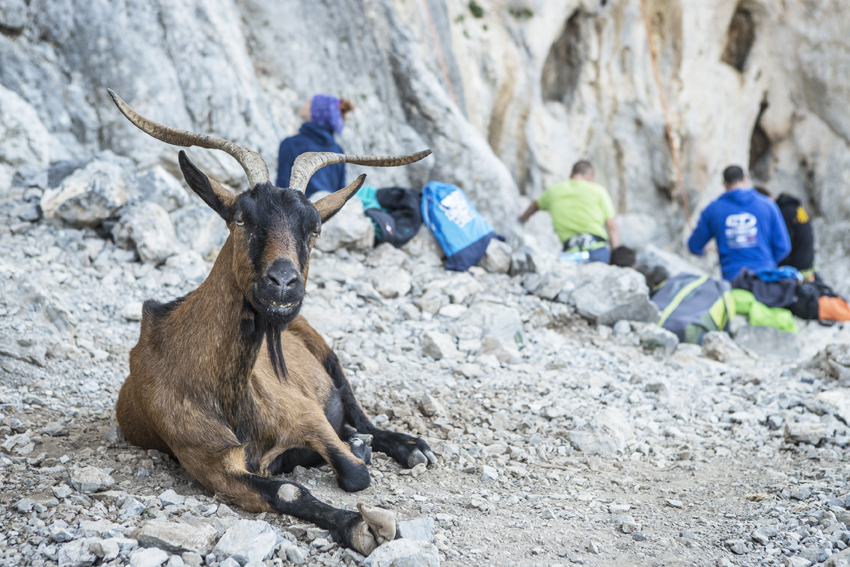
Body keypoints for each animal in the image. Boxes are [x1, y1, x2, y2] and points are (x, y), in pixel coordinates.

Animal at [108, 91, 434, 556]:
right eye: (241, 218)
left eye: (314, 229)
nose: (282, 284)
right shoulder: (209, 463)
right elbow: (290, 489)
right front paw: (357, 525)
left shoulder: (307, 415)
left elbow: (355, 472)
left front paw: (360, 464)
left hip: (327, 354)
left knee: (360, 415)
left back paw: (410, 447)